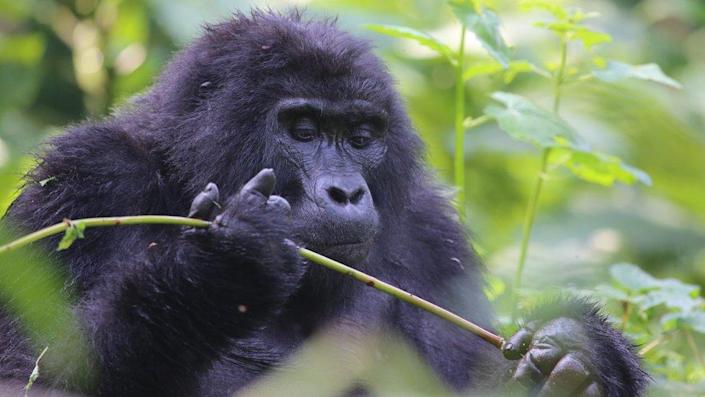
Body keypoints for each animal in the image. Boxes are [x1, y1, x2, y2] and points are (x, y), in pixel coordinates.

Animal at [0, 9, 648, 396]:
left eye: (361, 136)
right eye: (304, 130)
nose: (346, 192)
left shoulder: (432, 236)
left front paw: (580, 349)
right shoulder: (89, 180)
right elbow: (27, 372)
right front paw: (219, 273)